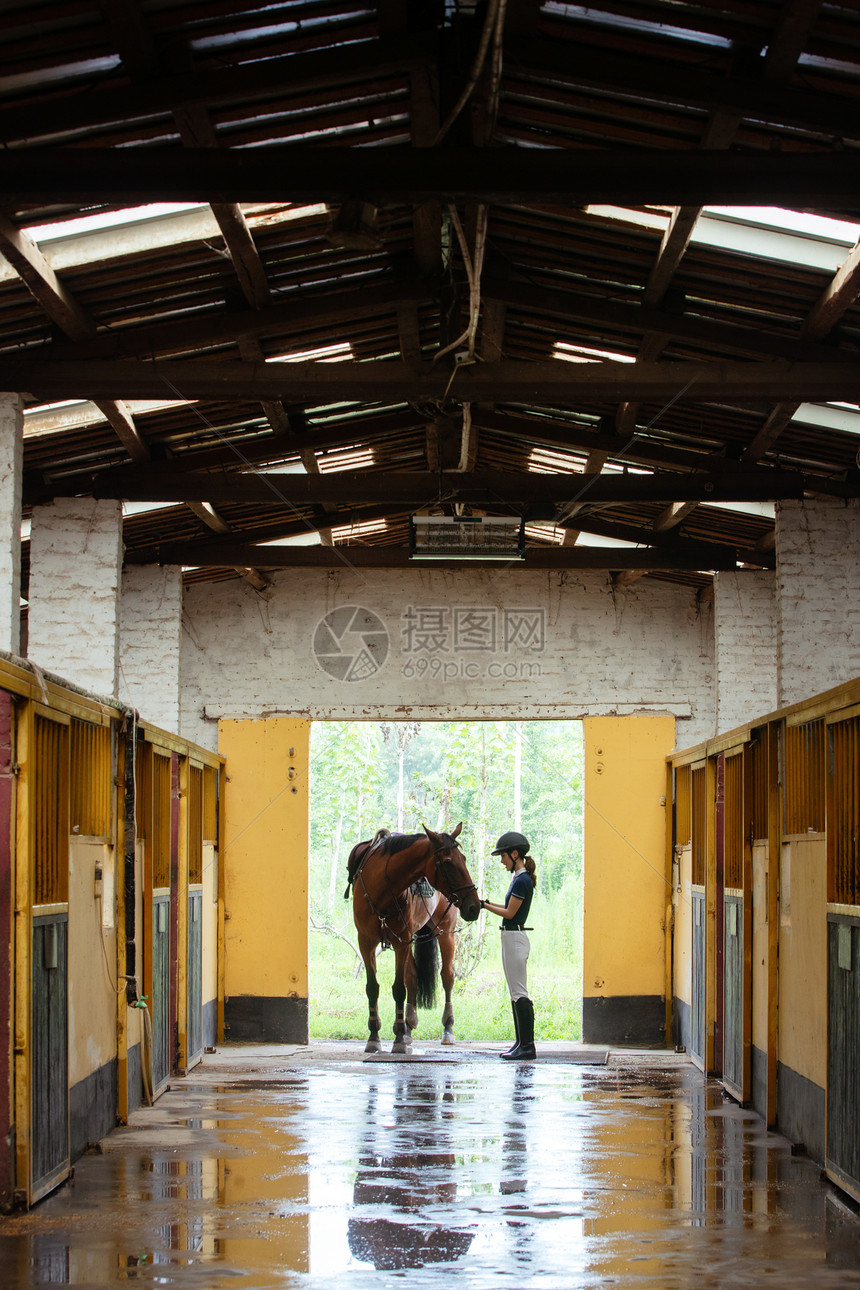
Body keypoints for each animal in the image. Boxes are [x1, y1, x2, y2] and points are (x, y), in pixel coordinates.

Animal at [348, 830, 484, 1052]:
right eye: (448, 863)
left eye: (463, 859)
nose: (474, 906)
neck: (382, 888)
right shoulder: (366, 941)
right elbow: (373, 987)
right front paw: (375, 1036)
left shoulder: (401, 941)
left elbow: (398, 989)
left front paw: (398, 1039)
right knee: (412, 977)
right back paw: (408, 1028)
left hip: (445, 933)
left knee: (447, 977)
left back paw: (447, 1027)